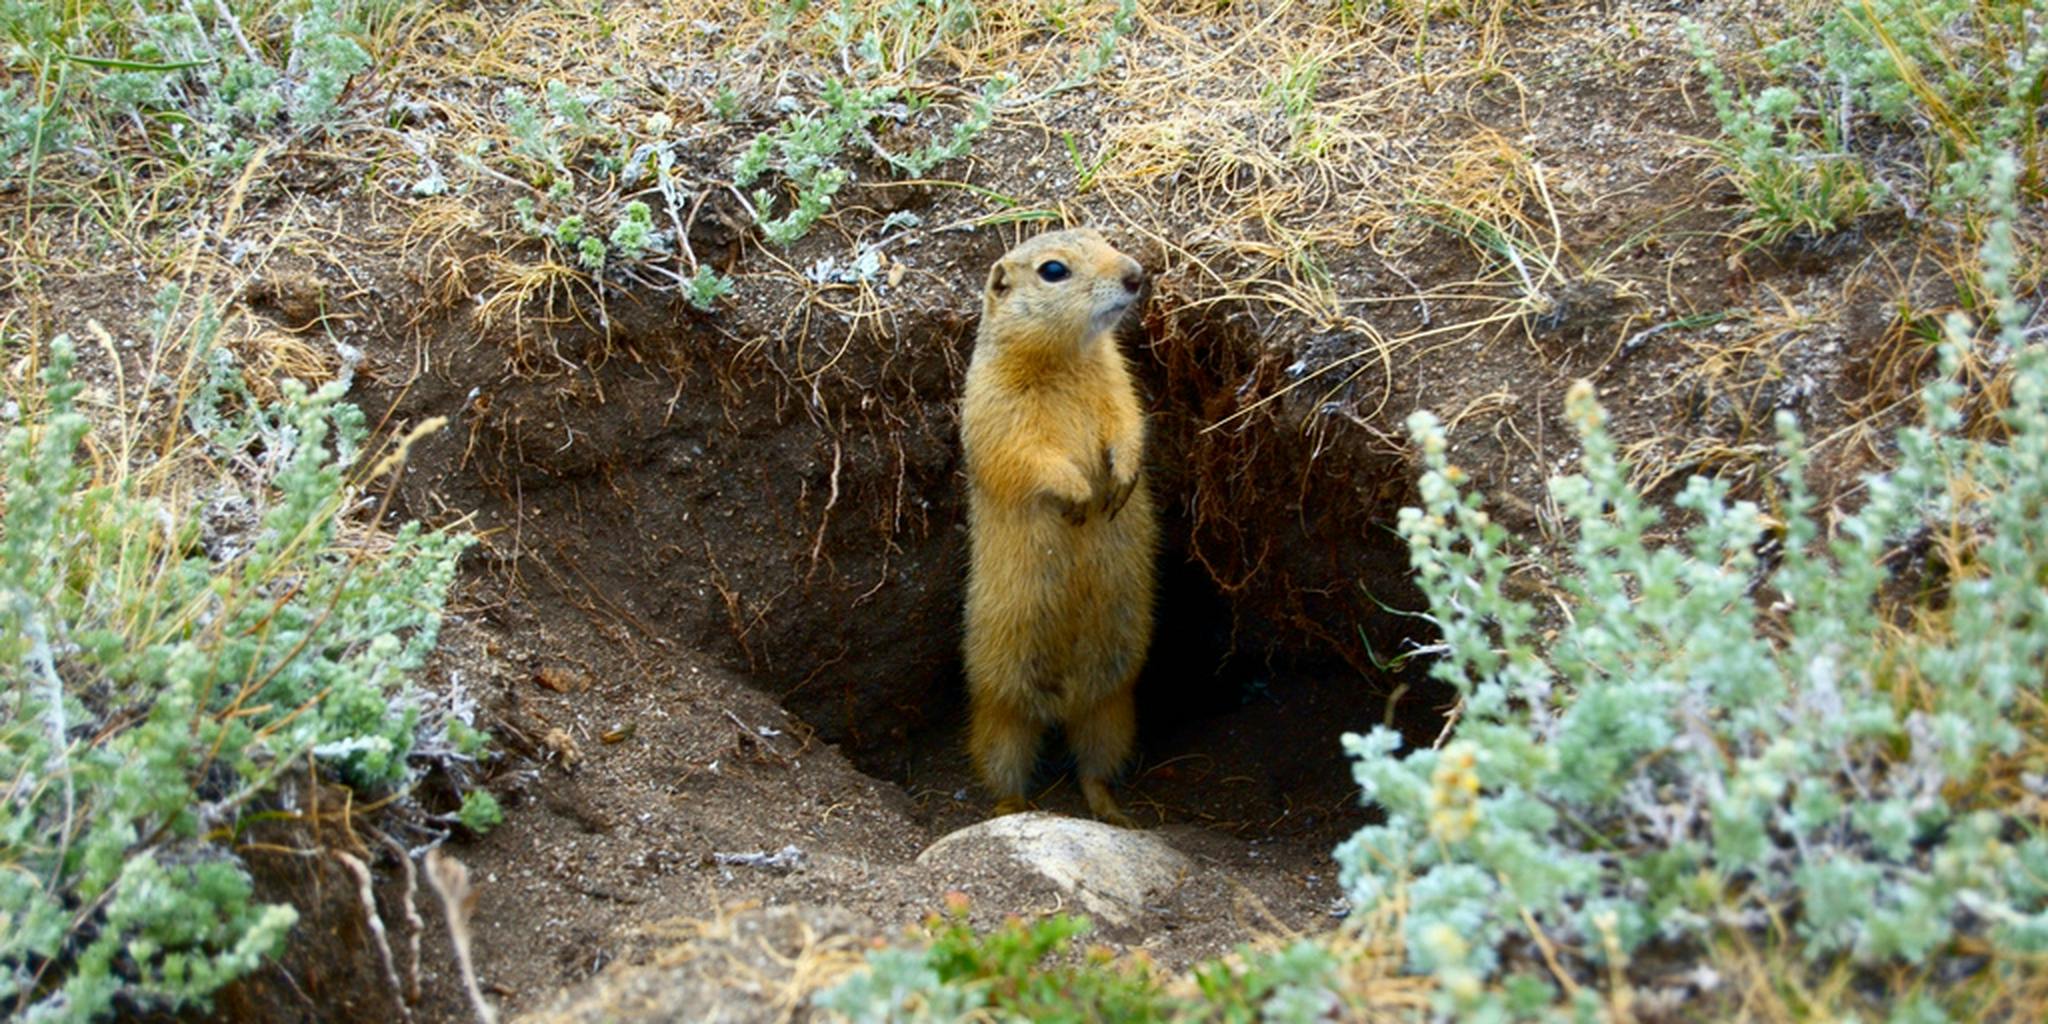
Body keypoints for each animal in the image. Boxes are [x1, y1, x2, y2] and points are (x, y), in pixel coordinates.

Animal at [954, 228, 1155, 827]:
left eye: (1104, 237)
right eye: (1053, 270)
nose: (1136, 273)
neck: (1068, 358)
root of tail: (1063, 703)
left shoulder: (1118, 381)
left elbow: (1128, 423)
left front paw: (1121, 481)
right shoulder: (993, 405)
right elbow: (1026, 455)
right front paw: (1082, 494)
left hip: (1113, 708)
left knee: (1094, 768)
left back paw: (1114, 813)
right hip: (1000, 713)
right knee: (1003, 764)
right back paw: (1011, 810)